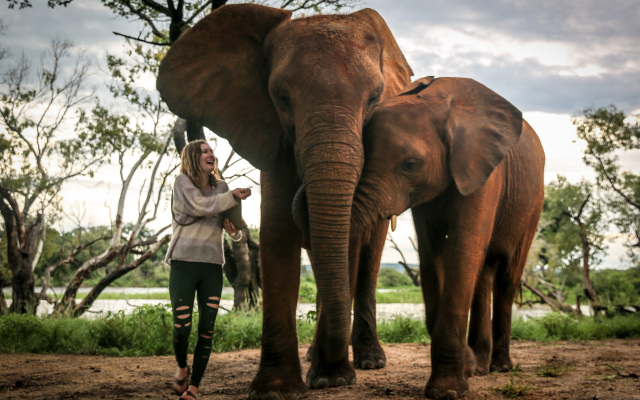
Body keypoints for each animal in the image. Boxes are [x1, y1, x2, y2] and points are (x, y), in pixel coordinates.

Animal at [158, 3, 412, 400]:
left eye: (375, 98)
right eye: (281, 97)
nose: (303, 191)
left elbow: (350, 244)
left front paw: (331, 380)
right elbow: (277, 232)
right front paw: (276, 390)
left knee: (368, 263)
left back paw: (369, 360)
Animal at [350, 76, 544, 398]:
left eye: (411, 164)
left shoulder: (482, 172)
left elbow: (463, 250)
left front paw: (448, 391)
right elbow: (432, 256)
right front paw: (465, 369)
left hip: (532, 203)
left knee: (507, 276)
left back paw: (501, 367)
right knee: (484, 273)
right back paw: (479, 367)